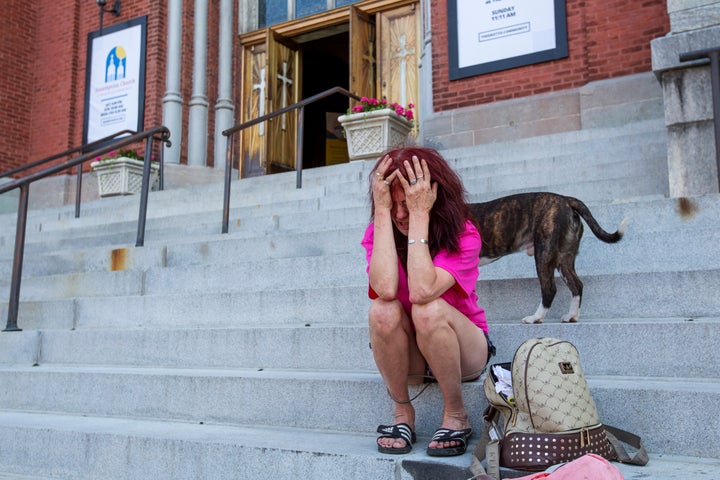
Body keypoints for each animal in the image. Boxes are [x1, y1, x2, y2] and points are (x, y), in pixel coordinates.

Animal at [466, 193, 624, 324]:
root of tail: (566, 199)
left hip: (544, 253)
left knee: (549, 289)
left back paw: (535, 318)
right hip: (564, 258)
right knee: (577, 285)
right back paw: (572, 316)